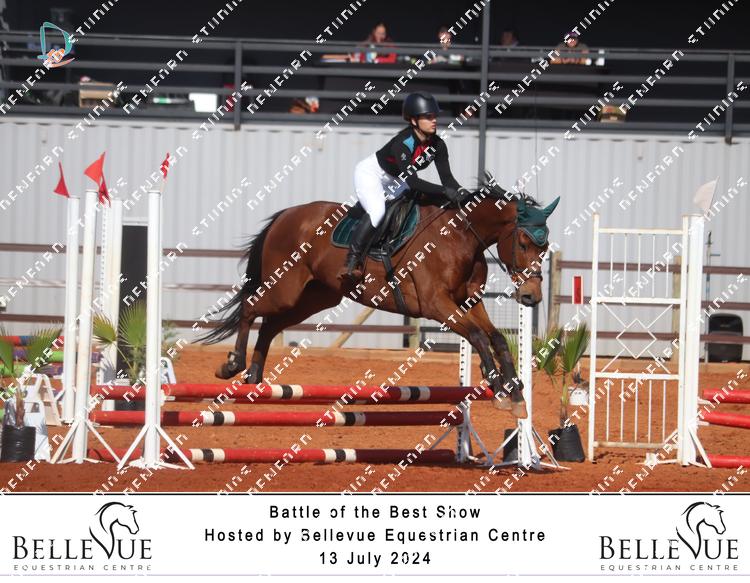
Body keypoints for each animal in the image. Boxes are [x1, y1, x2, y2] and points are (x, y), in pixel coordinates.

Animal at [200, 177, 559, 419]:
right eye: (524, 243)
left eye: (545, 247)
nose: (531, 296)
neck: (460, 236)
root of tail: (287, 215)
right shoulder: (437, 305)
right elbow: (478, 337)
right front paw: (497, 386)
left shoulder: (468, 301)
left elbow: (495, 338)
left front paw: (515, 393)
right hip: (285, 289)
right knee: (251, 308)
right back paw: (233, 365)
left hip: (315, 298)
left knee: (270, 324)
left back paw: (254, 377)